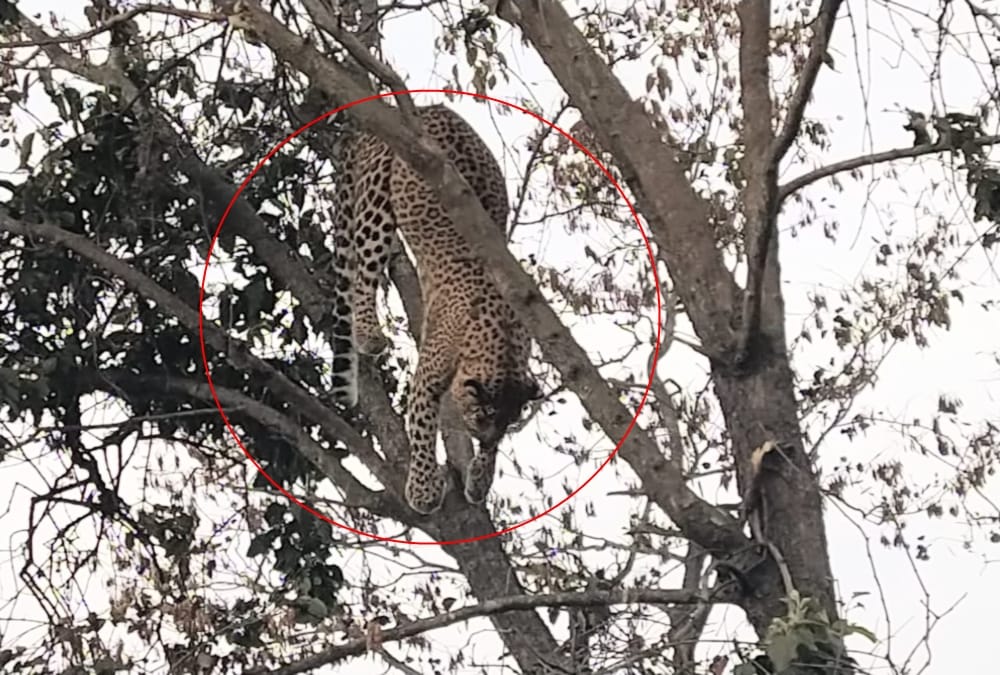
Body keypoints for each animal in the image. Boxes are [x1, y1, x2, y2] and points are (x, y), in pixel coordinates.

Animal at [326, 103, 540, 515]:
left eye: (507, 425)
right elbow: (423, 428)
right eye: (482, 414)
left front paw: (479, 481)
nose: (483, 435)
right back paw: (369, 334)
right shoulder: (428, 376)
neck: (502, 340)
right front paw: (424, 491)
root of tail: (425, 107)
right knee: (364, 271)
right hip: (376, 197)